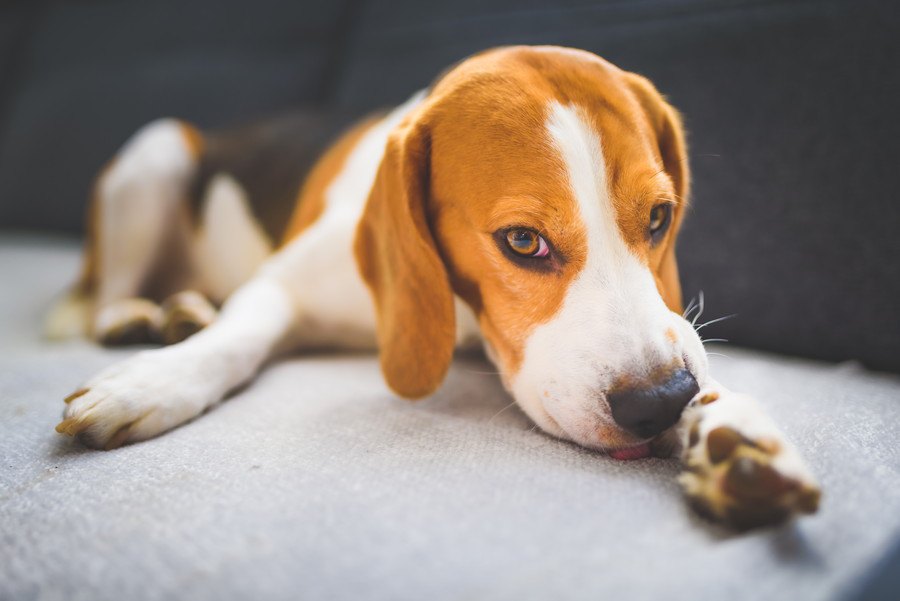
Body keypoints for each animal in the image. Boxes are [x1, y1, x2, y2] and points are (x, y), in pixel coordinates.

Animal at [51, 45, 824, 524]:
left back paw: (183, 308)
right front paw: (152, 381)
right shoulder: (279, 283)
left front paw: (736, 433)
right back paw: (144, 318)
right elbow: (237, 338)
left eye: (660, 216)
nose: (660, 404)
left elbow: (705, 372)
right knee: (102, 298)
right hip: (152, 153)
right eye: (523, 241)